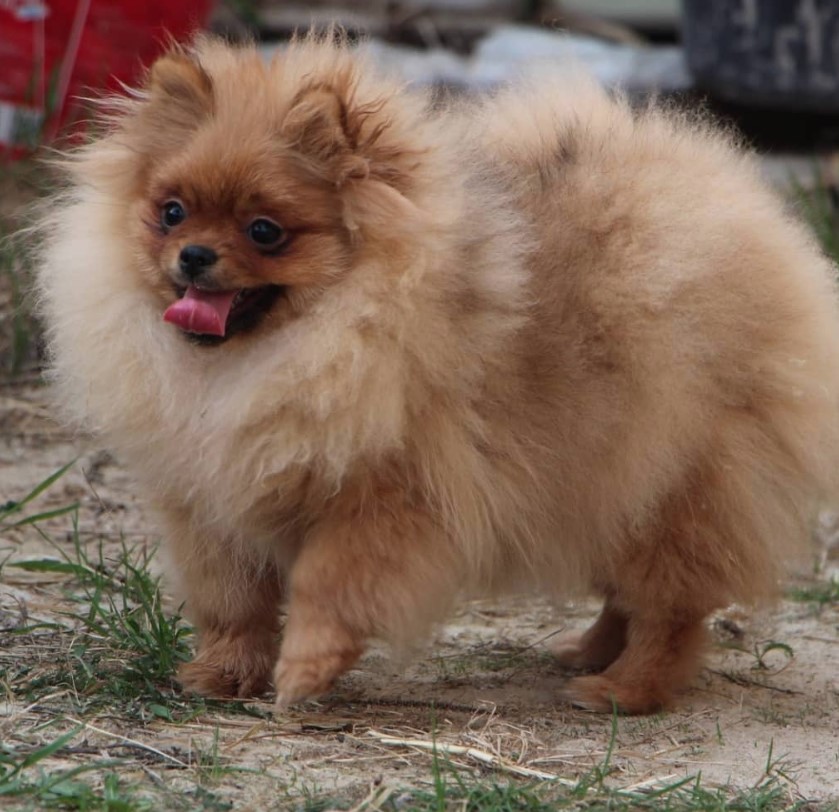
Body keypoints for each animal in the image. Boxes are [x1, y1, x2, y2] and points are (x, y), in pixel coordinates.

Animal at [34, 35, 839, 712]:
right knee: (627, 593)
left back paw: (623, 689)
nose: (193, 256)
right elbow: (233, 602)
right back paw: (586, 653)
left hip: (678, 488)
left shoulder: (386, 501)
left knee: (669, 608)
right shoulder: (214, 505)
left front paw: (303, 674)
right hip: (617, 485)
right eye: (171, 213)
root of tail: (744, 216)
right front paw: (225, 674)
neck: (282, 352)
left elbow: (326, 586)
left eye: (265, 232)